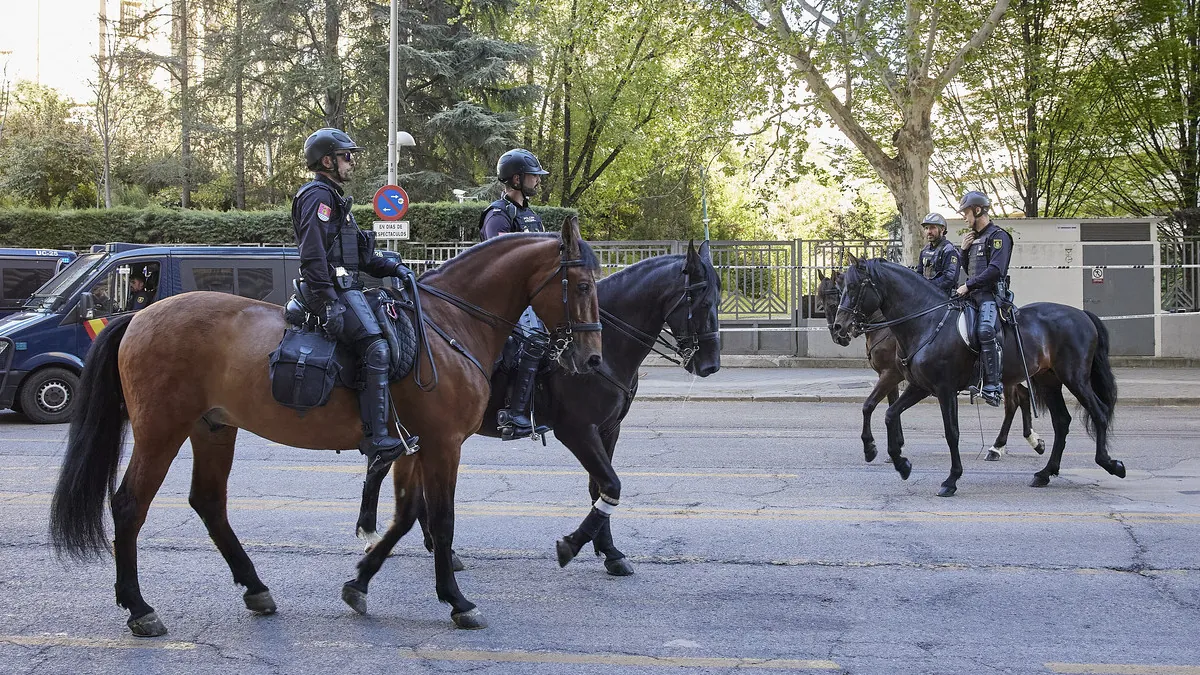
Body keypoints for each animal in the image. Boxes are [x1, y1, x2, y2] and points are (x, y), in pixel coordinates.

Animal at [51, 222, 604, 634]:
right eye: (581, 285)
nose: (591, 358)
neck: (450, 326)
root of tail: (138, 316)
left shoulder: (413, 446)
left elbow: (406, 516)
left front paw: (360, 583)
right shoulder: (443, 445)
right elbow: (442, 521)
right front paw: (456, 600)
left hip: (213, 429)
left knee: (208, 502)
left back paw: (255, 588)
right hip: (161, 430)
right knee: (129, 505)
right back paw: (139, 607)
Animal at [350, 239, 715, 576]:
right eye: (704, 301)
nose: (710, 365)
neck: (605, 344)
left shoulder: (609, 429)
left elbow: (599, 486)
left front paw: (610, 551)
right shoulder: (577, 431)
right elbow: (610, 483)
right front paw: (572, 545)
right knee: (381, 466)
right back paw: (380, 534)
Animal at [816, 269, 1041, 461]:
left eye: (836, 299)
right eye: (821, 303)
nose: (838, 333)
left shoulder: (891, 374)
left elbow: (870, 405)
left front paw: (880, 447)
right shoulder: (893, 376)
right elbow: (890, 405)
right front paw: (896, 445)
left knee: (1013, 402)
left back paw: (998, 447)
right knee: (1022, 397)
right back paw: (1030, 441)